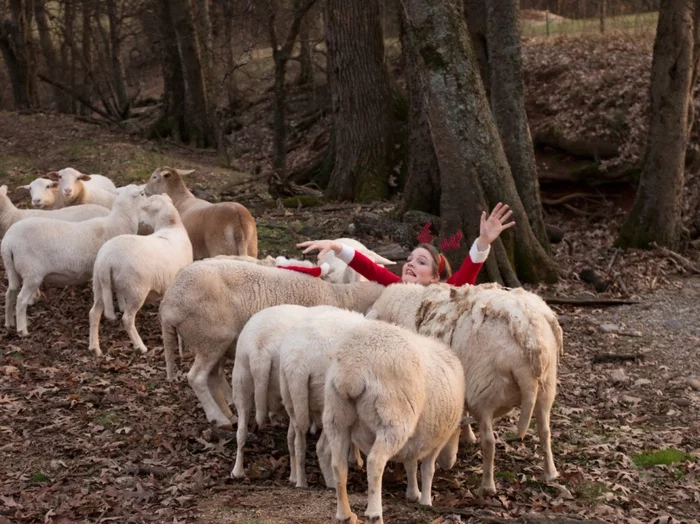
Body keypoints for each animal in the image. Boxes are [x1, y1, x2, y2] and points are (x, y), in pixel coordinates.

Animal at [2, 184, 145, 336]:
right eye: (142, 193)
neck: (119, 222)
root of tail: (8, 242)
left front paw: (122, 307)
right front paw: (121, 308)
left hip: (13, 270)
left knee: (10, 293)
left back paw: (9, 323)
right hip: (31, 272)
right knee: (21, 300)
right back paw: (22, 330)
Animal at [90, 194, 196, 358]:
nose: (140, 220)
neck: (171, 227)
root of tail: (107, 259)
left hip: (99, 285)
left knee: (94, 313)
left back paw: (95, 348)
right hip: (136, 290)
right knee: (127, 319)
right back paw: (140, 346)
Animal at [322, 318, 464, 520]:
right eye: (457, 436)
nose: (451, 463)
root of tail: (352, 369)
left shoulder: (415, 439)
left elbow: (410, 464)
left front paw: (413, 493)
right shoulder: (437, 440)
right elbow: (427, 469)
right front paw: (426, 500)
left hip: (336, 416)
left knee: (338, 464)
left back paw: (345, 515)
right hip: (393, 420)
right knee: (375, 462)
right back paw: (374, 514)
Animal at [366, 282, 564, 496]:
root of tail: (528, 333)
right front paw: (468, 436)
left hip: (484, 391)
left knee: (489, 442)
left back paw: (487, 485)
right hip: (547, 386)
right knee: (544, 430)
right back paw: (551, 472)